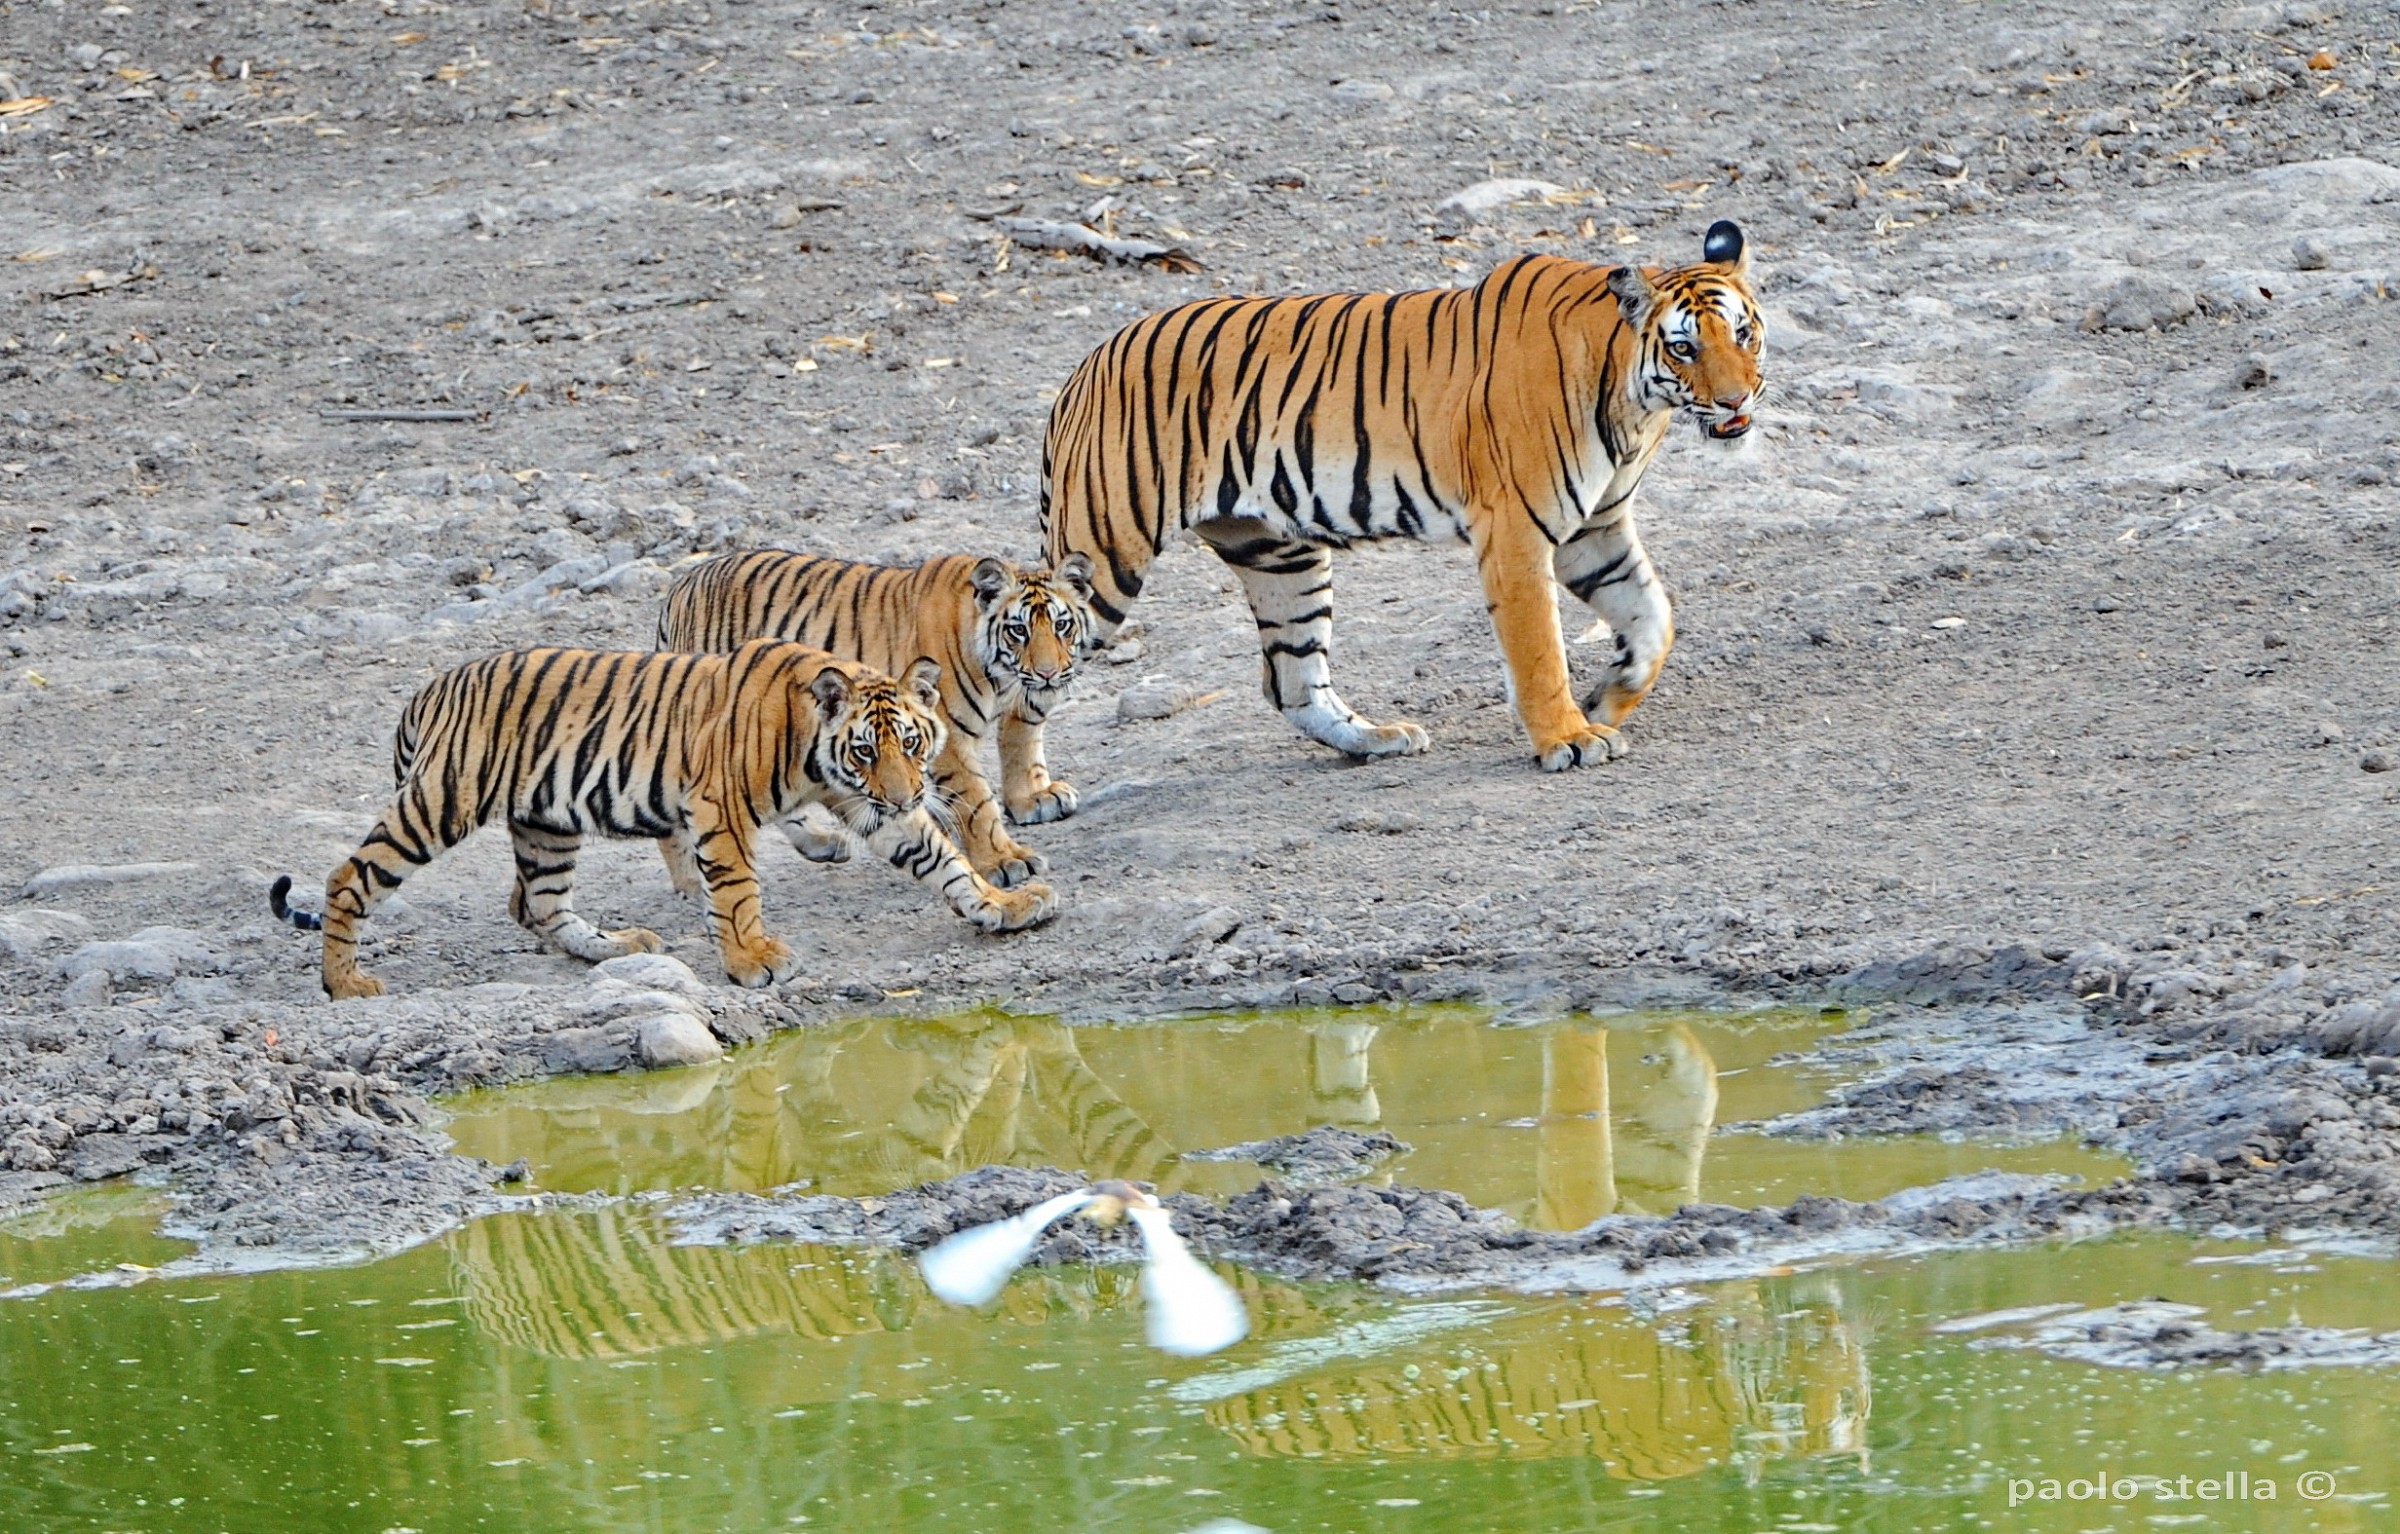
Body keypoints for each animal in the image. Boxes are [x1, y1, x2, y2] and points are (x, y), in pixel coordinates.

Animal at [266, 640, 1056, 1000]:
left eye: (912, 744)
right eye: (865, 749)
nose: (900, 794)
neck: (819, 755)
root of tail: (430, 687)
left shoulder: (870, 810)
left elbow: (944, 860)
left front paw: (1003, 905)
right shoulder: (721, 809)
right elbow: (736, 893)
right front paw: (752, 960)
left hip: (547, 823)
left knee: (537, 905)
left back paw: (615, 948)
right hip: (441, 802)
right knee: (348, 876)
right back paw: (345, 983)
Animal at [656, 549, 1097, 886]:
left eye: (1062, 625)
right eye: (1018, 631)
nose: (1049, 673)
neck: (1000, 678)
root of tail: (679, 588)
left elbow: (1023, 742)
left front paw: (1034, 798)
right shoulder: (948, 737)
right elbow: (977, 801)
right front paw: (1006, 860)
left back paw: (822, 843)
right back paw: (689, 883)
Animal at [1032, 219, 1763, 774]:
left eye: (1743, 333)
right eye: (1684, 348)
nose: (1737, 401)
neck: (1633, 407)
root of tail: (1082, 370)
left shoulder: (1594, 530)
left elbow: (1653, 617)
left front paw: (1612, 695)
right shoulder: (1517, 532)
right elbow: (1539, 648)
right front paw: (1568, 737)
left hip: (1279, 557)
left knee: (1290, 681)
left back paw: (1376, 740)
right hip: (1104, 559)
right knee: (1020, 676)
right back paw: (1030, 809)